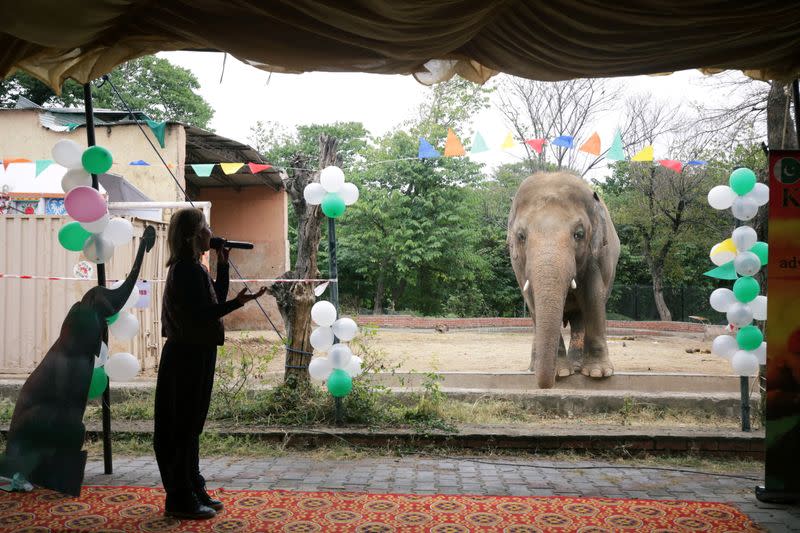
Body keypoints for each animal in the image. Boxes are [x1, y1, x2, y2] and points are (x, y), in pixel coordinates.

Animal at [510, 172, 620, 388]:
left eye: (579, 234)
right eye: (521, 236)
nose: (546, 384)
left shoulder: (596, 255)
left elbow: (593, 297)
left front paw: (598, 374)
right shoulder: (518, 264)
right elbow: (531, 300)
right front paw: (561, 372)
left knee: (580, 319)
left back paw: (577, 366)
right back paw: (534, 368)